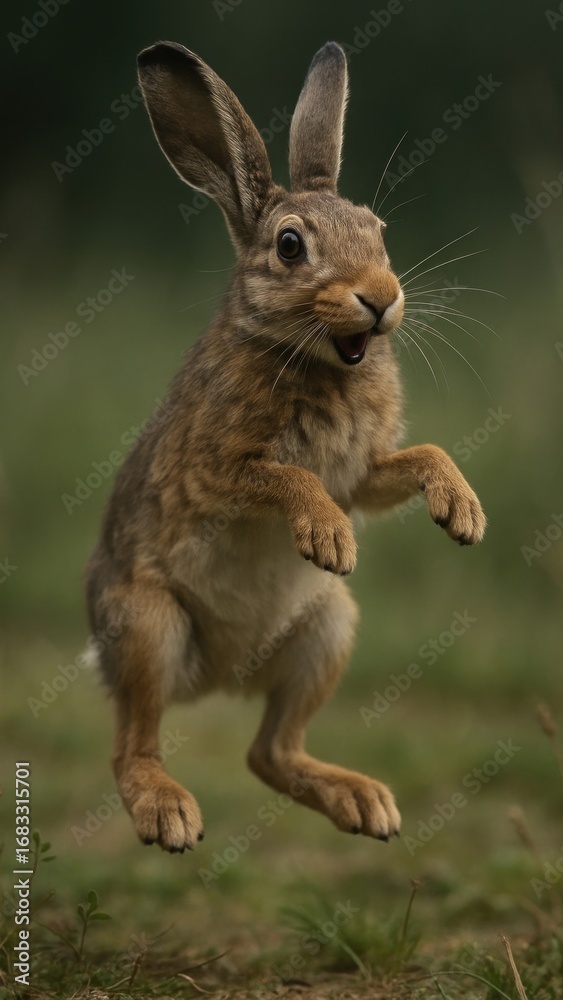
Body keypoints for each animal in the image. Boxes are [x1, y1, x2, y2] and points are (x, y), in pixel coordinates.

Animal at [85, 39, 486, 853]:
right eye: (290, 246)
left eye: (378, 230)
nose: (381, 296)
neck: (318, 360)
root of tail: (217, 682)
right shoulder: (216, 469)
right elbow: (286, 479)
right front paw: (328, 537)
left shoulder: (363, 472)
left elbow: (417, 458)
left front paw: (463, 513)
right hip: (147, 625)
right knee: (133, 743)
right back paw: (168, 814)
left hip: (327, 628)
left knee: (269, 751)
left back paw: (364, 804)